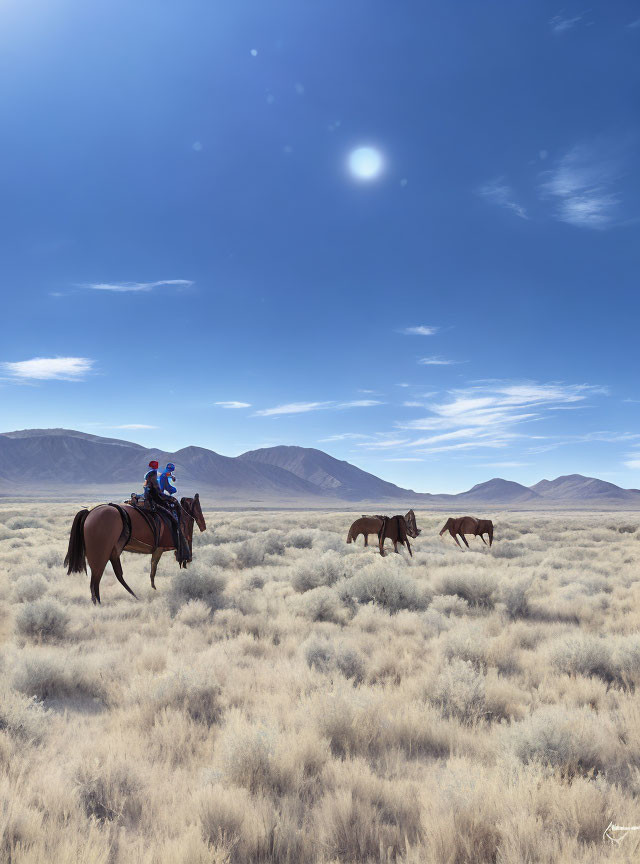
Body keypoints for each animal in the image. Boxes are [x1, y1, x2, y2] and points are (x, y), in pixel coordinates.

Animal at [64, 496, 206, 604]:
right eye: (198, 508)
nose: (203, 526)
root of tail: (89, 512)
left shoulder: (157, 550)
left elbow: (152, 569)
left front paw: (153, 589)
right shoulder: (159, 549)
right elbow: (153, 569)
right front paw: (154, 588)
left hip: (111, 551)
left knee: (112, 574)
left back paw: (132, 596)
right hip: (101, 554)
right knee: (96, 578)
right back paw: (100, 602)